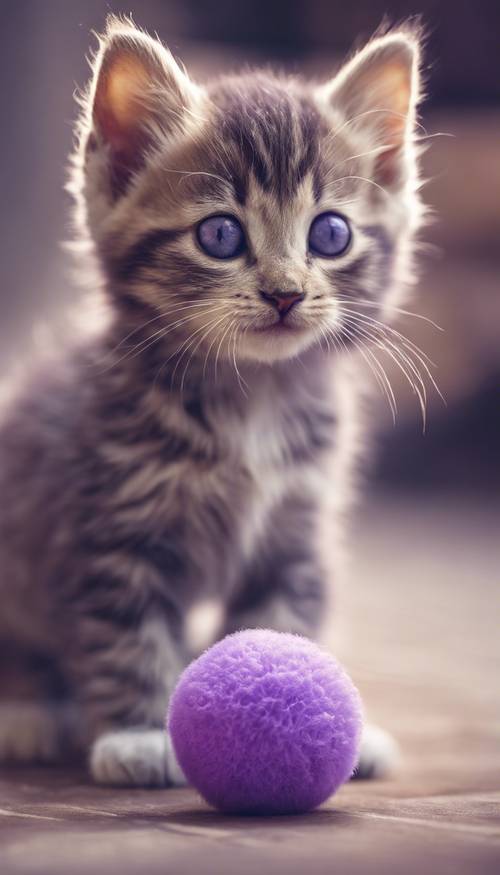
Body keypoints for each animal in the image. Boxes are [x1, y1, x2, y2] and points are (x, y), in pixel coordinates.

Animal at [0, 17, 422, 788]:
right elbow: (127, 638)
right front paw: (140, 733)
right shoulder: (112, 532)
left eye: (331, 233)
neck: (250, 400)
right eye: (220, 234)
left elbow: (281, 621)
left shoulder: (294, 528)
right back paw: (26, 711)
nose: (285, 294)